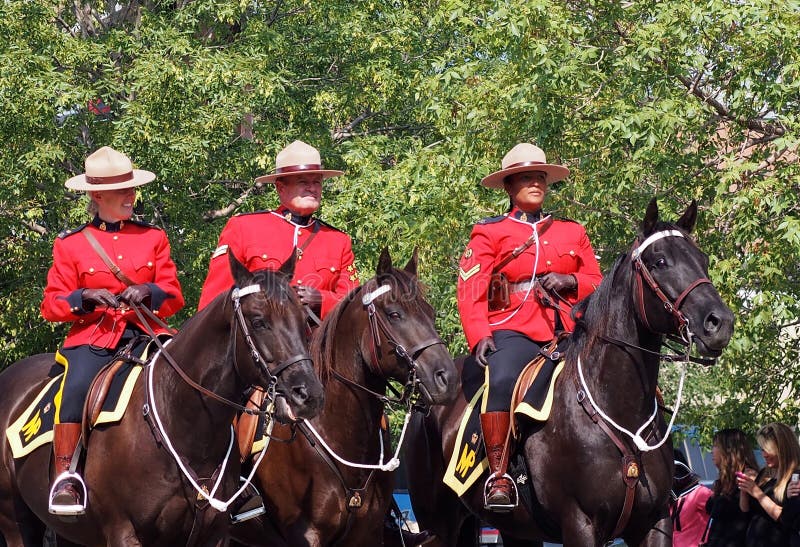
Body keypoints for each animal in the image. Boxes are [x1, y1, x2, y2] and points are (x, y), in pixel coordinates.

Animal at [0, 256, 324, 547]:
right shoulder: (124, 534)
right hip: (16, 521)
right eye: (259, 322)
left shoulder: (214, 536)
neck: (183, 425)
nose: (308, 394)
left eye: (303, 321)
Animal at [228, 250, 460, 544]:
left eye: (430, 313)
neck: (337, 429)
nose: (448, 379)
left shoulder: (367, 532)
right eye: (394, 314)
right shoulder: (306, 534)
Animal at [406, 201, 732, 547]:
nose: (720, 322)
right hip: (436, 526)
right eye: (659, 262)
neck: (615, 406)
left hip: (513, 529)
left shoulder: (654, 522)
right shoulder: (579, 523)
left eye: (703, 260)